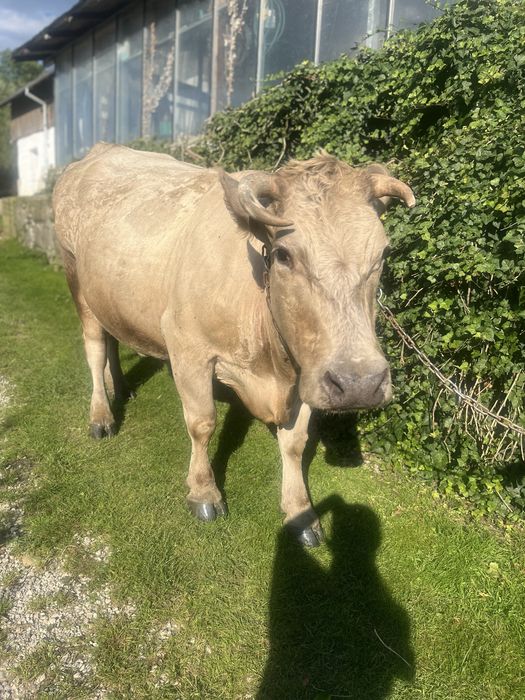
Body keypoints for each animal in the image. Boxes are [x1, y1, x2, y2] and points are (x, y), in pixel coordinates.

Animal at [53, 143, 414, 546]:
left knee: (113, 339)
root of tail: (102, 149)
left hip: (110, 295)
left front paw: (301, 512)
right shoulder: (187, 346)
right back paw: (101, 416)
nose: (359, 384)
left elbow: (295, 441)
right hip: (75, 276)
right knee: (95, 347)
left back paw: (121, 386)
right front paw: (203, 491)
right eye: (284, 254)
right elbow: (202, 423)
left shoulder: (307, 365)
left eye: (383, 254)